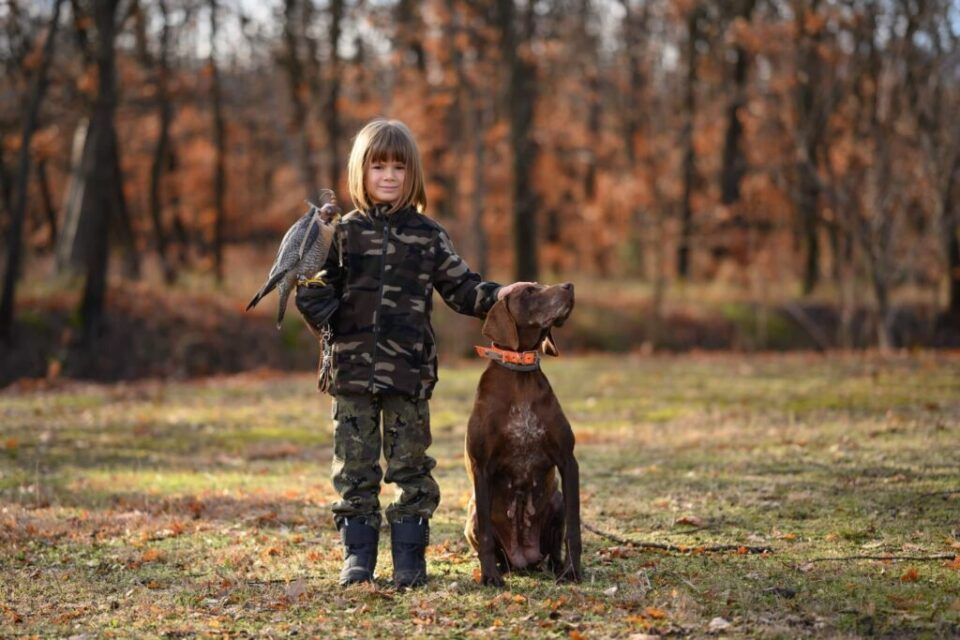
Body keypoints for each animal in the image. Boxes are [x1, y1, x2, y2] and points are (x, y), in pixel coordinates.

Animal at [464, 282, 580, 588]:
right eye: (529, 291)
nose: (569, 286)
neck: (520, 372)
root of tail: (523, 557)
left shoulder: (568, 460)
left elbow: (574, 530)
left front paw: (573, 572)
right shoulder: (482, 467)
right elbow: (486, 539)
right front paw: (490, 577)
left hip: (556, 499)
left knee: (552, 549)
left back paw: (556, 567)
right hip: (472, 513)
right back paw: (498, 569)